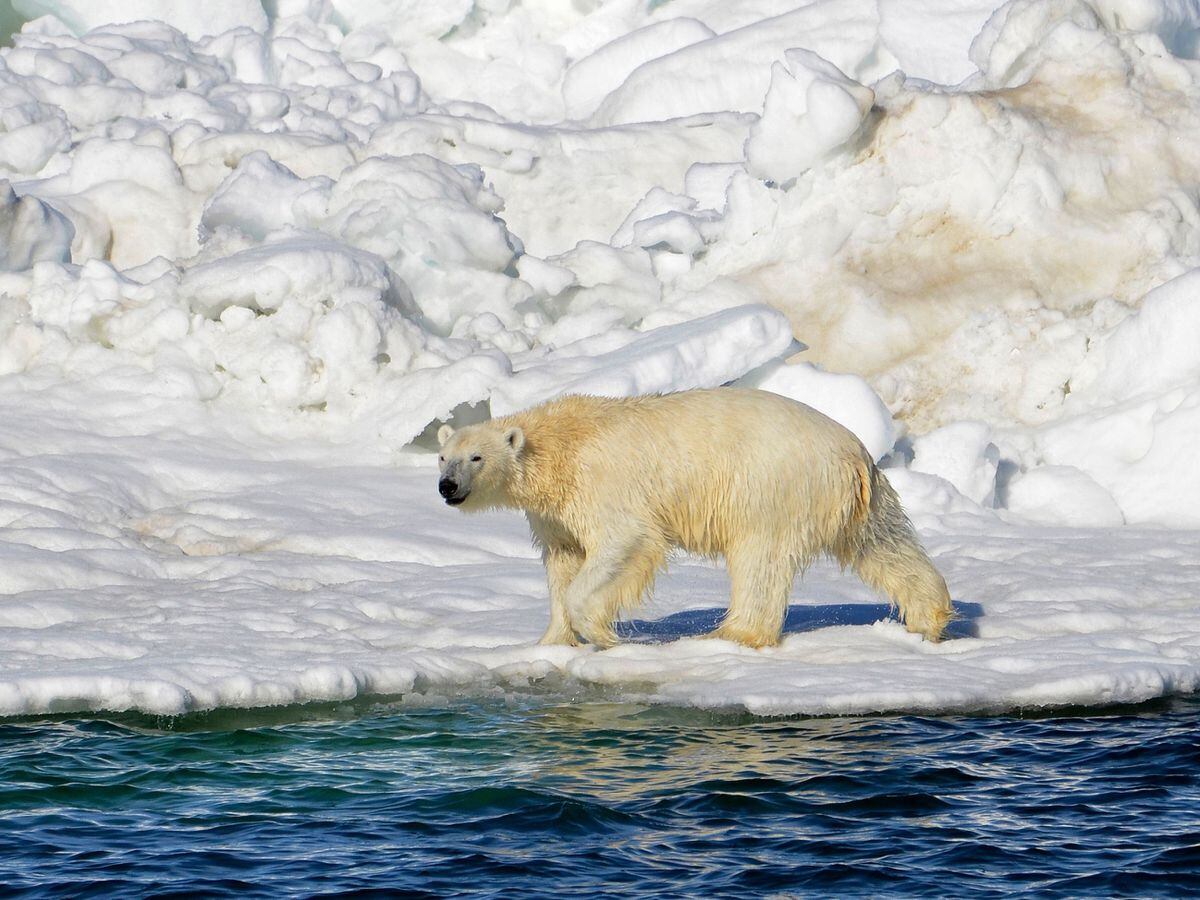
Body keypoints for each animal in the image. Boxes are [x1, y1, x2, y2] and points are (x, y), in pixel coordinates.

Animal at [436, 388, 950, 648]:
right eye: (443, 457)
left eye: (476, 457)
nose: (447, 487)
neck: (561, 445)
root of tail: (853, 454)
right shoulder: (555, 513)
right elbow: (563, 561)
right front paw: (551, 642)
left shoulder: (604, 485)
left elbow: (625, 542)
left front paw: (602, 634)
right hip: (858, 499)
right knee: (883, 545)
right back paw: (929, 618)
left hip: (770, 487)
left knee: (759, 559)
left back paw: (732, 633)